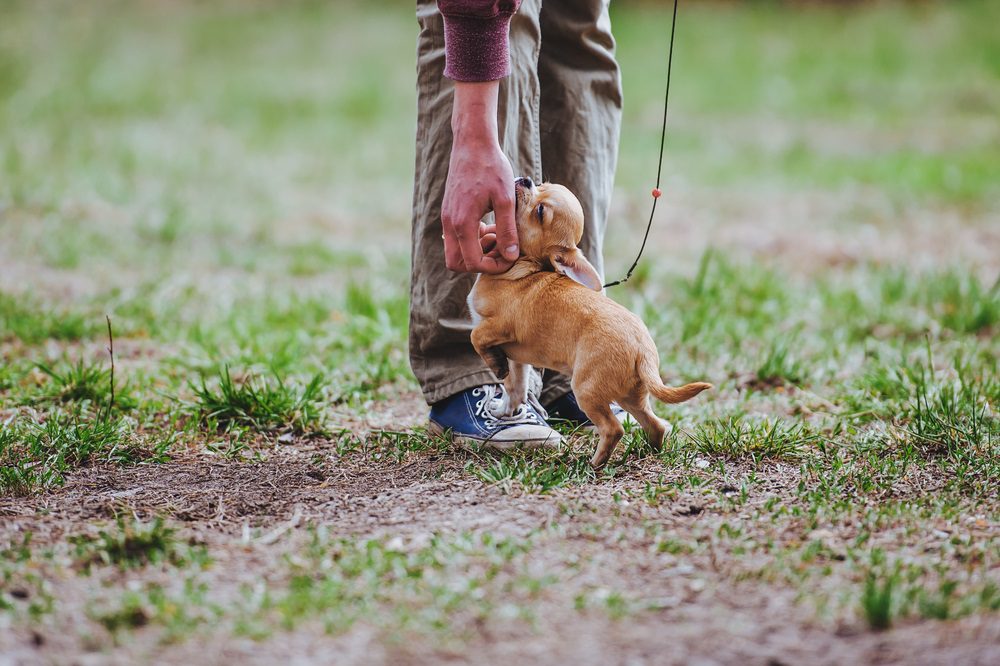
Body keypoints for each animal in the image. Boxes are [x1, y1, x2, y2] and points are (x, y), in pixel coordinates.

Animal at [468, 176, 712, 466]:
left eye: (540, 211)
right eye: (542, 184)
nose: (526, 180)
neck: (523, 267)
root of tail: (644, 351)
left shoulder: (499, 327)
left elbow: (475, 336)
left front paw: (495, 364)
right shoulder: (518, 359)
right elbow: (515, 389)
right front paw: (503, 411)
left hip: (586, 389)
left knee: (613, 429)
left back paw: (593, 464)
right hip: (630, 395)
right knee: (656, 424)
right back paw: (649, 451)